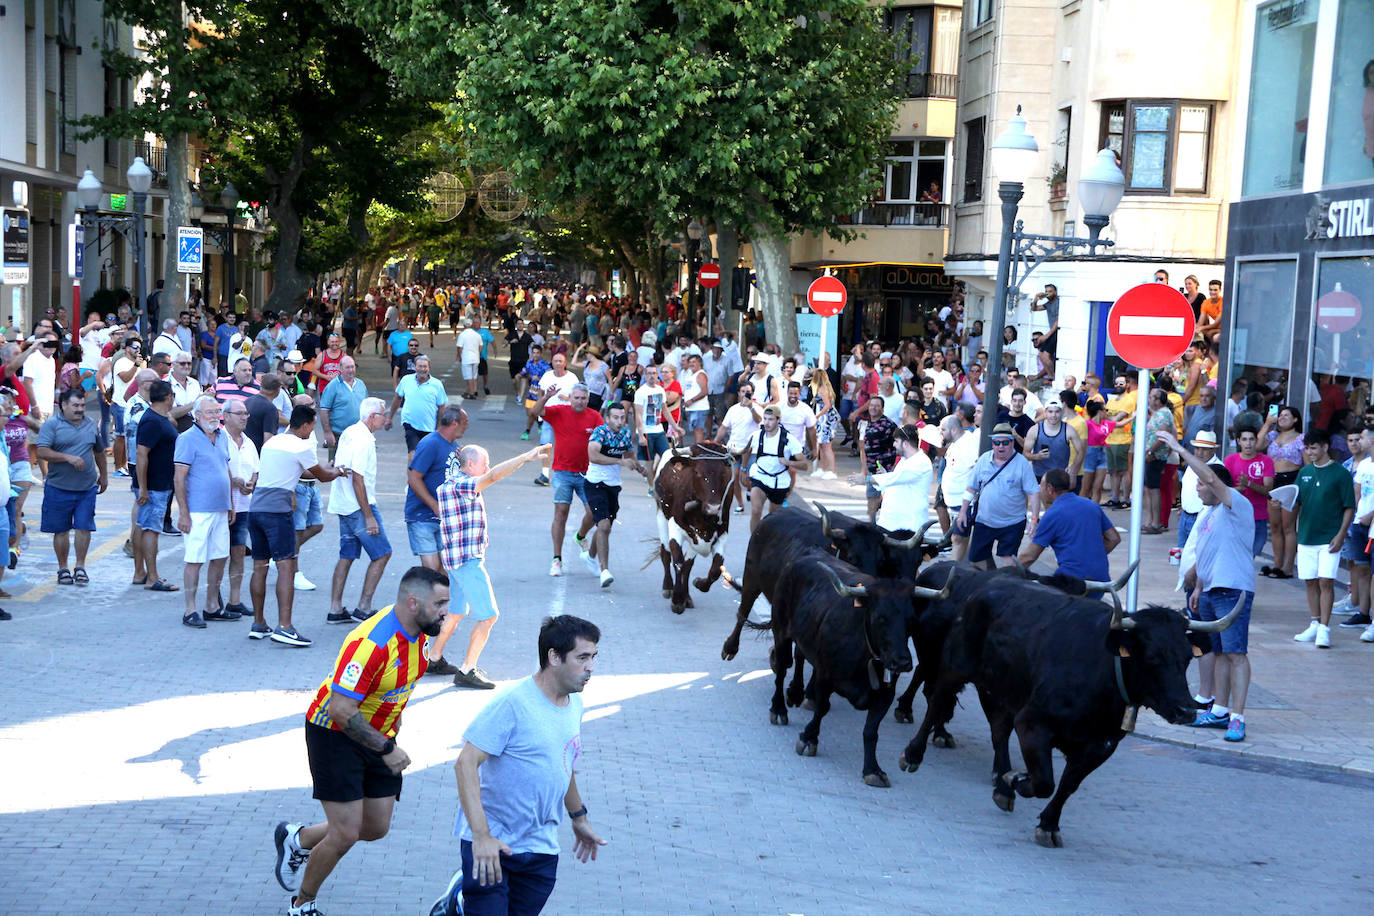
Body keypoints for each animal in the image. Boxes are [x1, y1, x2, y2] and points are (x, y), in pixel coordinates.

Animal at [651, 444, 736, 615]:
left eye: (723, 473)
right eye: (697, 472)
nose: (713, 507)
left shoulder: (722, 533)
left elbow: (715, 570)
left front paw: (698, 584)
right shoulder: (675, 526)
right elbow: (678, 562)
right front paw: (677, 600)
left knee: (688, 564)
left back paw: (687, 597)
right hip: (661, 515)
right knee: (666, 553)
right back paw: (668, 587)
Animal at [895, 576, 1242, 851]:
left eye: (1187, 658)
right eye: (1153, 657)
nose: (1186, 709)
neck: (1103, 674)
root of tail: (988, 584)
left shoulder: (1101, 745)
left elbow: (1066, 786)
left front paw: (1047, 823)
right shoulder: (1033, 722)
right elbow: (1044, 781)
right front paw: (1018, 780)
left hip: (1002, 688)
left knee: (998, 729)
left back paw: (1001, 783)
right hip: (955, 666)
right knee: (937, 702)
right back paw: (913, 753)